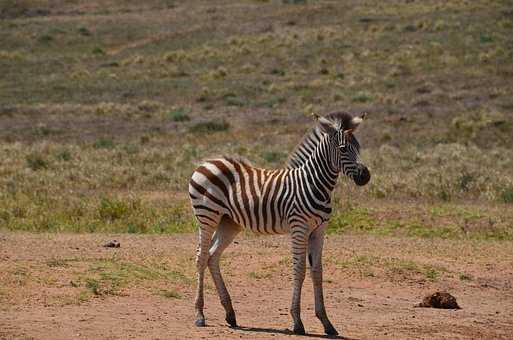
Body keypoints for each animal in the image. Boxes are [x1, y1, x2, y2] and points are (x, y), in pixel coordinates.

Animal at [188, 111, 368, 334]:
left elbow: (317, 272)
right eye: (343, 149)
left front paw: (326, 323)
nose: (366, 176)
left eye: (359, 147)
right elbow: (299, 270)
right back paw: (199, 315)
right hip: (207, 215)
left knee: (212, 257)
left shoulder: (319, 230)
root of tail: (207, 162)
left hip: (228, 222)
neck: (314, 184)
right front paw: (297, 321)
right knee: (201, 257)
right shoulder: (299, 228)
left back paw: (230, 314)